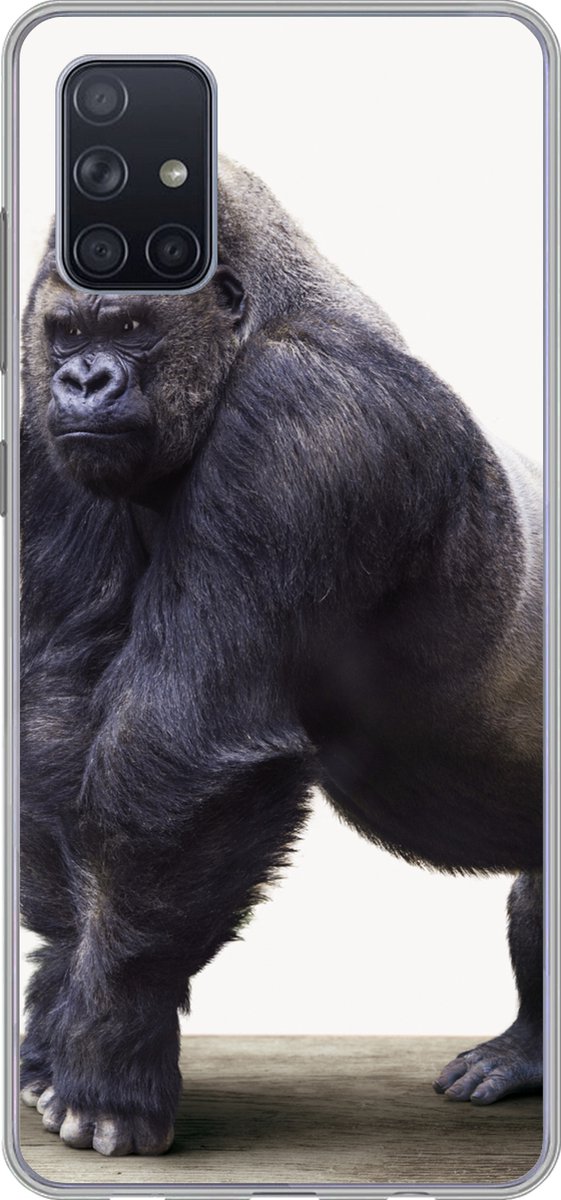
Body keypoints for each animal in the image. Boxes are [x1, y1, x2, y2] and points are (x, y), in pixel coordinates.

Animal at [19, 157, 542, 1157]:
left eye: (132, 327)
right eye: (67, 332)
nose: (81, 379)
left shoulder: (307, 417)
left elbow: (181, 751)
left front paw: (111, 1049)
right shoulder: (35, 431)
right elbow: (59, 711)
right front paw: (58, 1015)